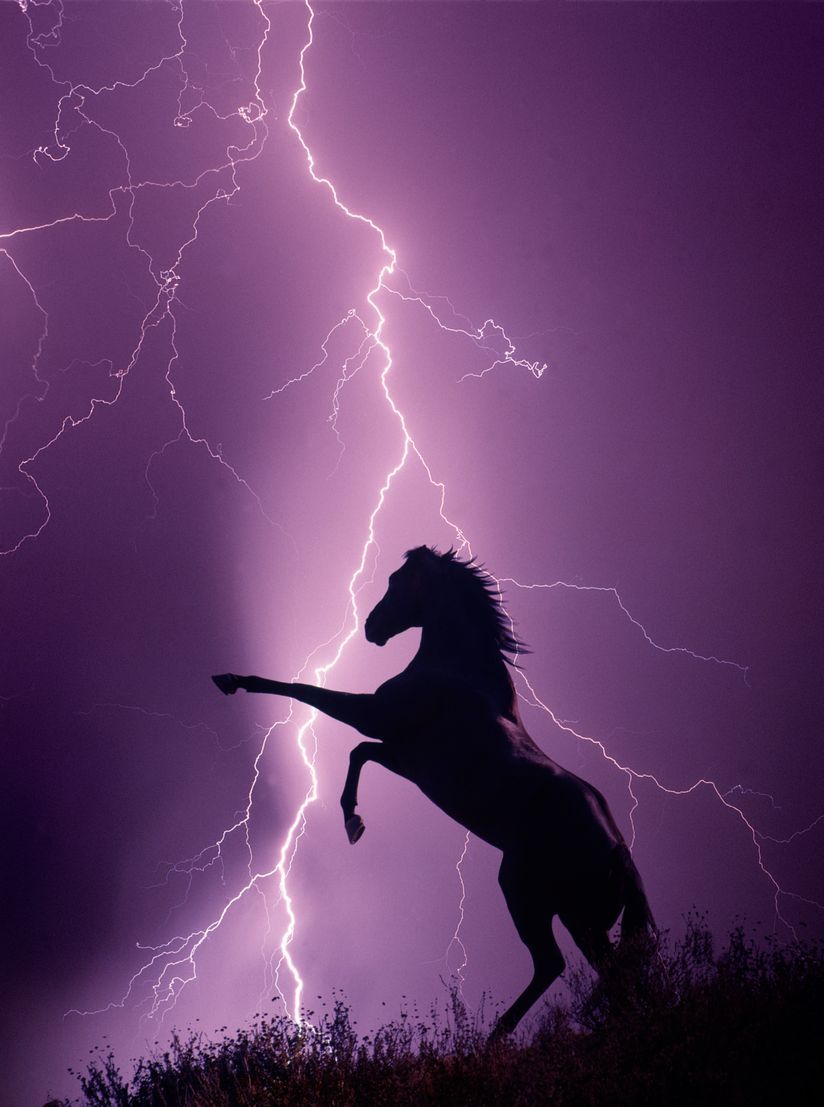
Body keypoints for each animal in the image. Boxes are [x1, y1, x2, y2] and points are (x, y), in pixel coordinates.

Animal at [212, 545, 655, 1036]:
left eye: (396, 580)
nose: (371, 627)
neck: (454, 672)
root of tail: (619, 850)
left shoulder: (374, 715)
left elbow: (305, 691)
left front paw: (233, 680)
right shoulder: (405, 757)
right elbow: (358, 753)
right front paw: (353, 821)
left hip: (525, 891)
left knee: (552, 964)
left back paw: (493, 1039)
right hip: (583, 918)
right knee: (613, 979)